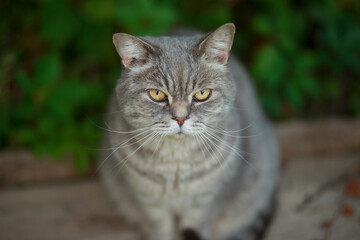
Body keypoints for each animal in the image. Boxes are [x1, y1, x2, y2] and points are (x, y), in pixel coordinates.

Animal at [100, 23, 280, 240]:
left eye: (202, 94)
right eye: (157, 94)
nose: (180, 118)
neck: (176, 164)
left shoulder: (205, 205)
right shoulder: (150, 205)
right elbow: (162, 232)